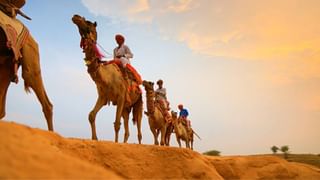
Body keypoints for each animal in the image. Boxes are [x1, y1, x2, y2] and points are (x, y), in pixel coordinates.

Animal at [72, 14, 144, 143]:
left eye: (88, 22)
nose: (76, 16)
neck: (107, 77)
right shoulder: (103, 97)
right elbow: (91, 115)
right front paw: (94, 138)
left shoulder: (121, 97)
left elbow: (116, 124)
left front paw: (115, 143)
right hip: (126, 107)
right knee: (127, 127)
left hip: (138, 102)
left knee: (139, 125)